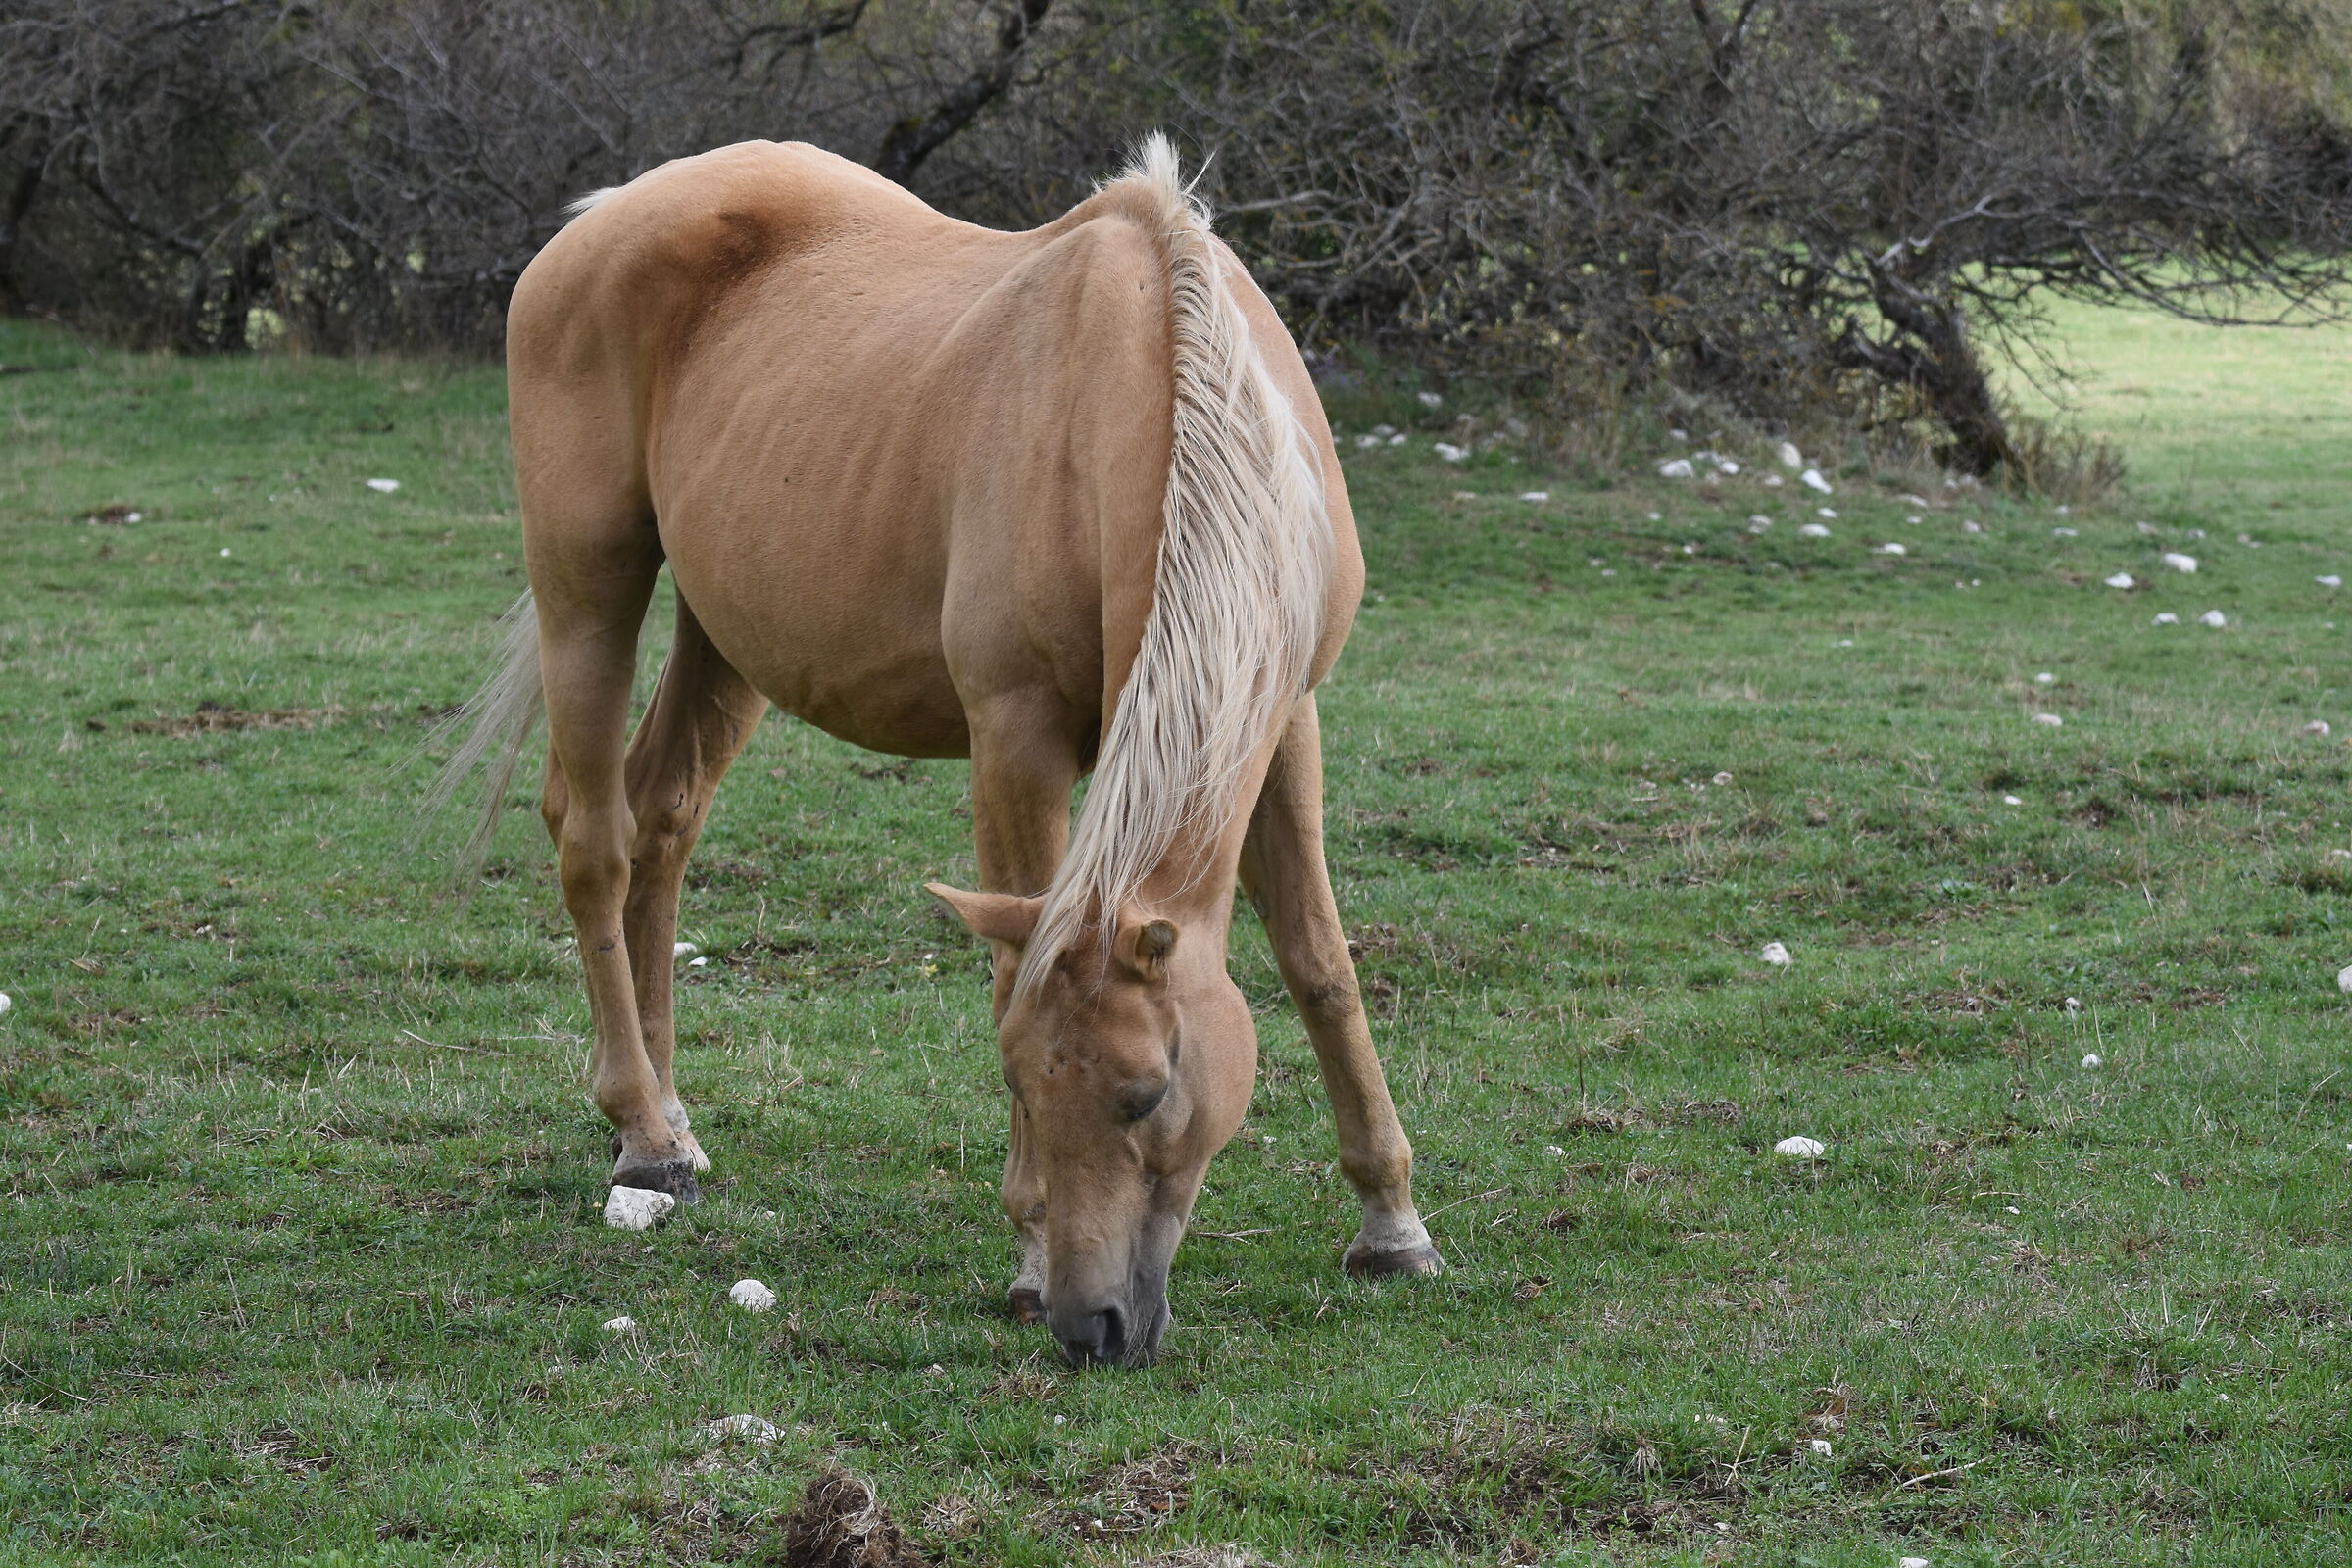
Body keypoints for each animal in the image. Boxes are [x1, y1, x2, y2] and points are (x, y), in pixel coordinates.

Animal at [434, 134, 1441, 1366]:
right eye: (1020, 1080)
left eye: (1151, 1094)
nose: (1093, 1325)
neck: (1150, 381)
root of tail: (603, 215)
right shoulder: (1015, 733)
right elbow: (1018, 964)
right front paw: (1027, 1250)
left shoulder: (1285, 713)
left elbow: (1318, 963)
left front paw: (1392, 1221)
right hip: (591, 587)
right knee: (597, 842)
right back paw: (645, 1138)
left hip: (728, 635)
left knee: (662, 820)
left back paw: (671, 1118)